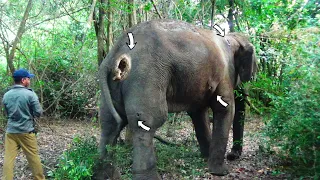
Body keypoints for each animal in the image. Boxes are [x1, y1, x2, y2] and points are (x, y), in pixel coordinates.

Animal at [97, 19, 258, 179]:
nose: (232, 155)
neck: (231, 38)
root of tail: (114, 54)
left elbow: (198, 113)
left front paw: (206, 158)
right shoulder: (224, 73)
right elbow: (225, 109)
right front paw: (220, 172)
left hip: (114, 86)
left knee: (110, 124)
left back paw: (106, 175)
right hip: (145, 78)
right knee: (147, 122)